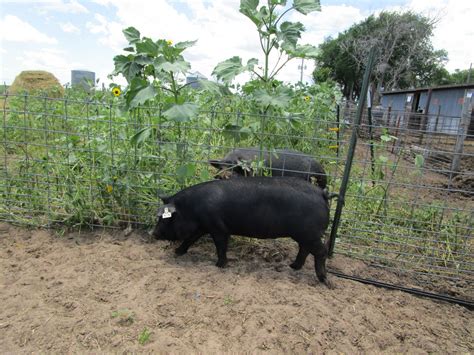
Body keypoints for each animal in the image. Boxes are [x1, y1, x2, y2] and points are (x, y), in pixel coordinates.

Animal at [152, 178, 330, 286]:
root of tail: (322, 193)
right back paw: (293, 266)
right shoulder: (203, 226)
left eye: (166, 219)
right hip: (304, 235)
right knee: (304, 249)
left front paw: (219, 265)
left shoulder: (218, 227)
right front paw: (177, 252)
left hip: (309, 234)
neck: (191, 208)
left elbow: (220, 246)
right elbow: (190, 239)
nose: (153, 234)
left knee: (321, 251)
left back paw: (325, 281)